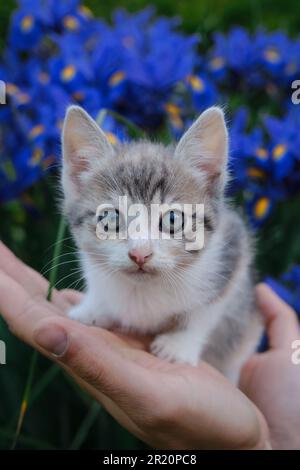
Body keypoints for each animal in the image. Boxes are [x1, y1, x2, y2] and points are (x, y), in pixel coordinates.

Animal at [61, 105, 262, 382]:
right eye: (111, 218)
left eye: (173, 219)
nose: (140, 254)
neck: (145, 289)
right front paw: (93, 308)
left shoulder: (233, 250)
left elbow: (207, 310)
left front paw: (179, 345)